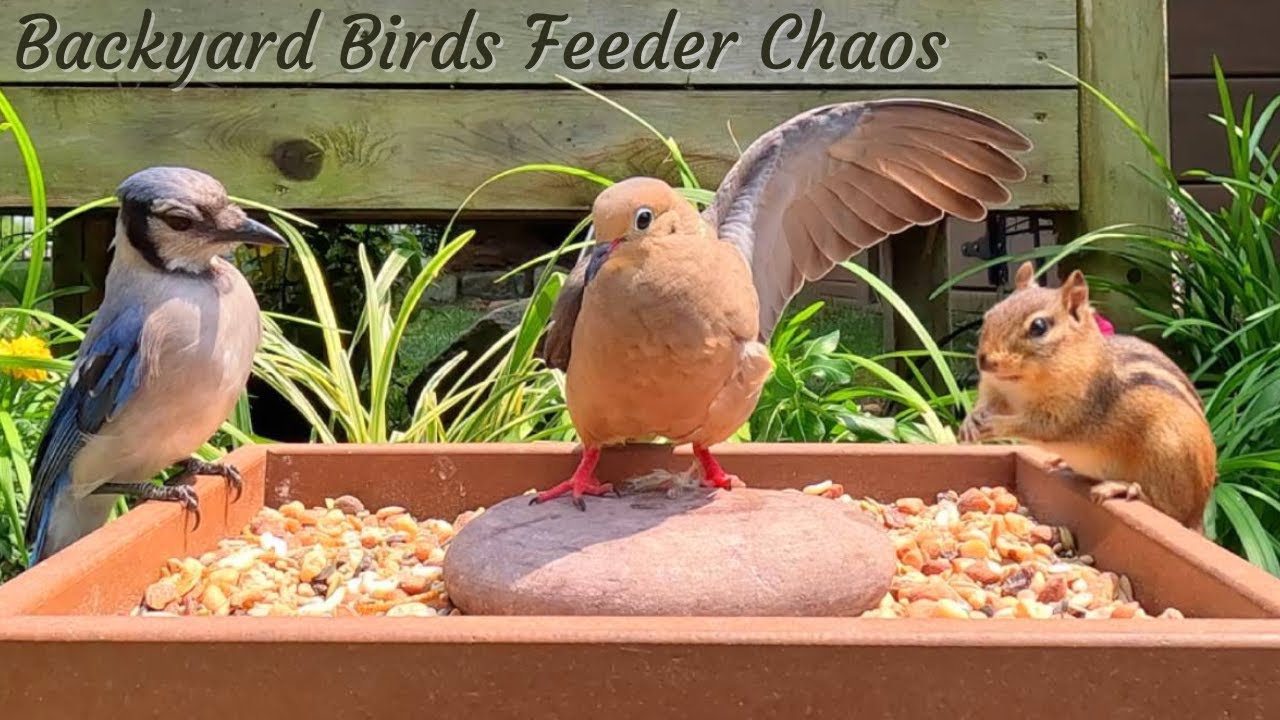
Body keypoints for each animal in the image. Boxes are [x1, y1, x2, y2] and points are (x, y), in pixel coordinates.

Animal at [958, 261, 1217, 532]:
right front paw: (971, 421)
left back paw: (1124, 488)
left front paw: (994, 425)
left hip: (1166, 448)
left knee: (1169, 509)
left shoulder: (1070, 410)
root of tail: (1200, 512)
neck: (1020, 385)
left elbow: (1037, 425)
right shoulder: (996, 390)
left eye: (1039, 327)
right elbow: (991, 404)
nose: (984, 361)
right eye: (989, 315)